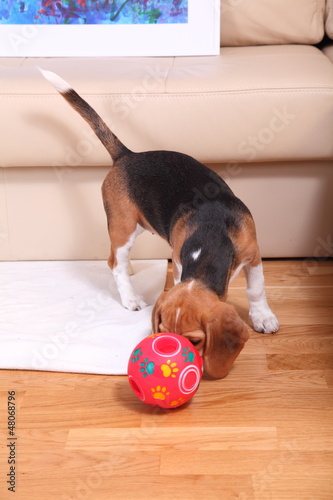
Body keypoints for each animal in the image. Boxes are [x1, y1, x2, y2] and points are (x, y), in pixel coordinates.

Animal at [38, 67, 278, 378]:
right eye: (163, 331)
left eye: (195, 341)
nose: (173, 362)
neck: (211, 234)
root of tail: (127, 155)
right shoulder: (178, 259)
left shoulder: (253, 253)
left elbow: (256, 289)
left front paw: (263, 317)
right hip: (123, 225)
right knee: (114, 262)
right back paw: (130, 297)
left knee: (118, 260)